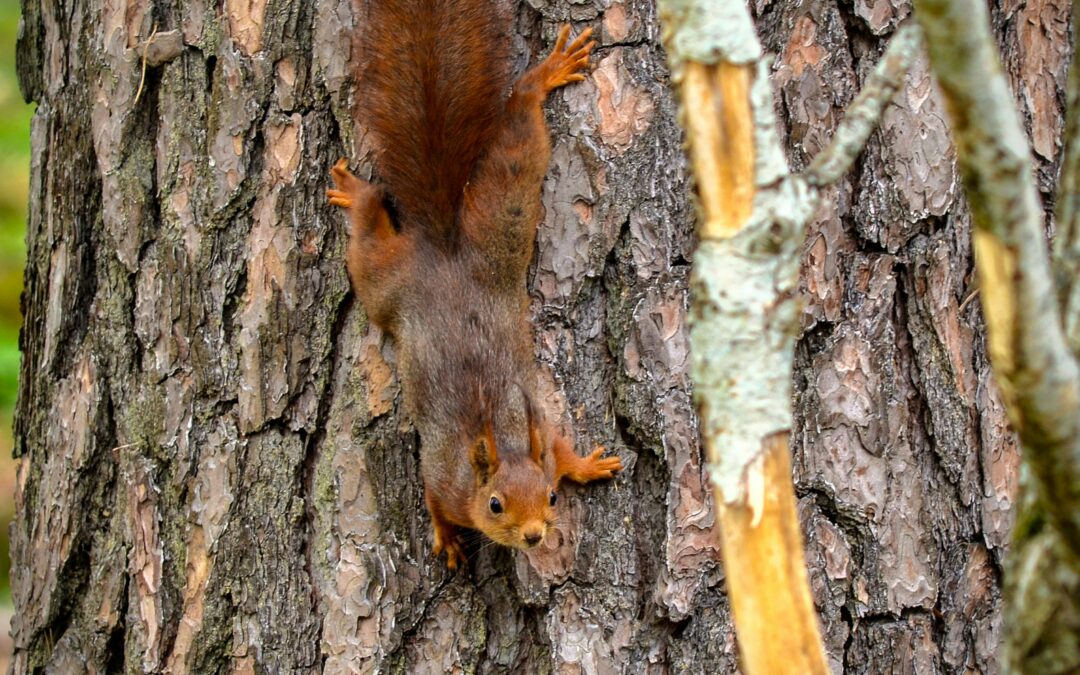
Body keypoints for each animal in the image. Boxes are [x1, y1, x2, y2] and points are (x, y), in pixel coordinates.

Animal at [327, 0, 622, 569]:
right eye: (494, 504)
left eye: (552, 497)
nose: (534, 535)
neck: (500, 443)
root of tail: (445, 248)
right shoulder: (442, 476)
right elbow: (432, 500)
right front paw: (446, 538)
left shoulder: (542, 440)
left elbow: (559, 448)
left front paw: (586, 465)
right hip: (390, 281)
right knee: (371, 236)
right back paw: (358, 195)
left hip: (501, 225)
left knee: (519, 140)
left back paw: (544, 78)